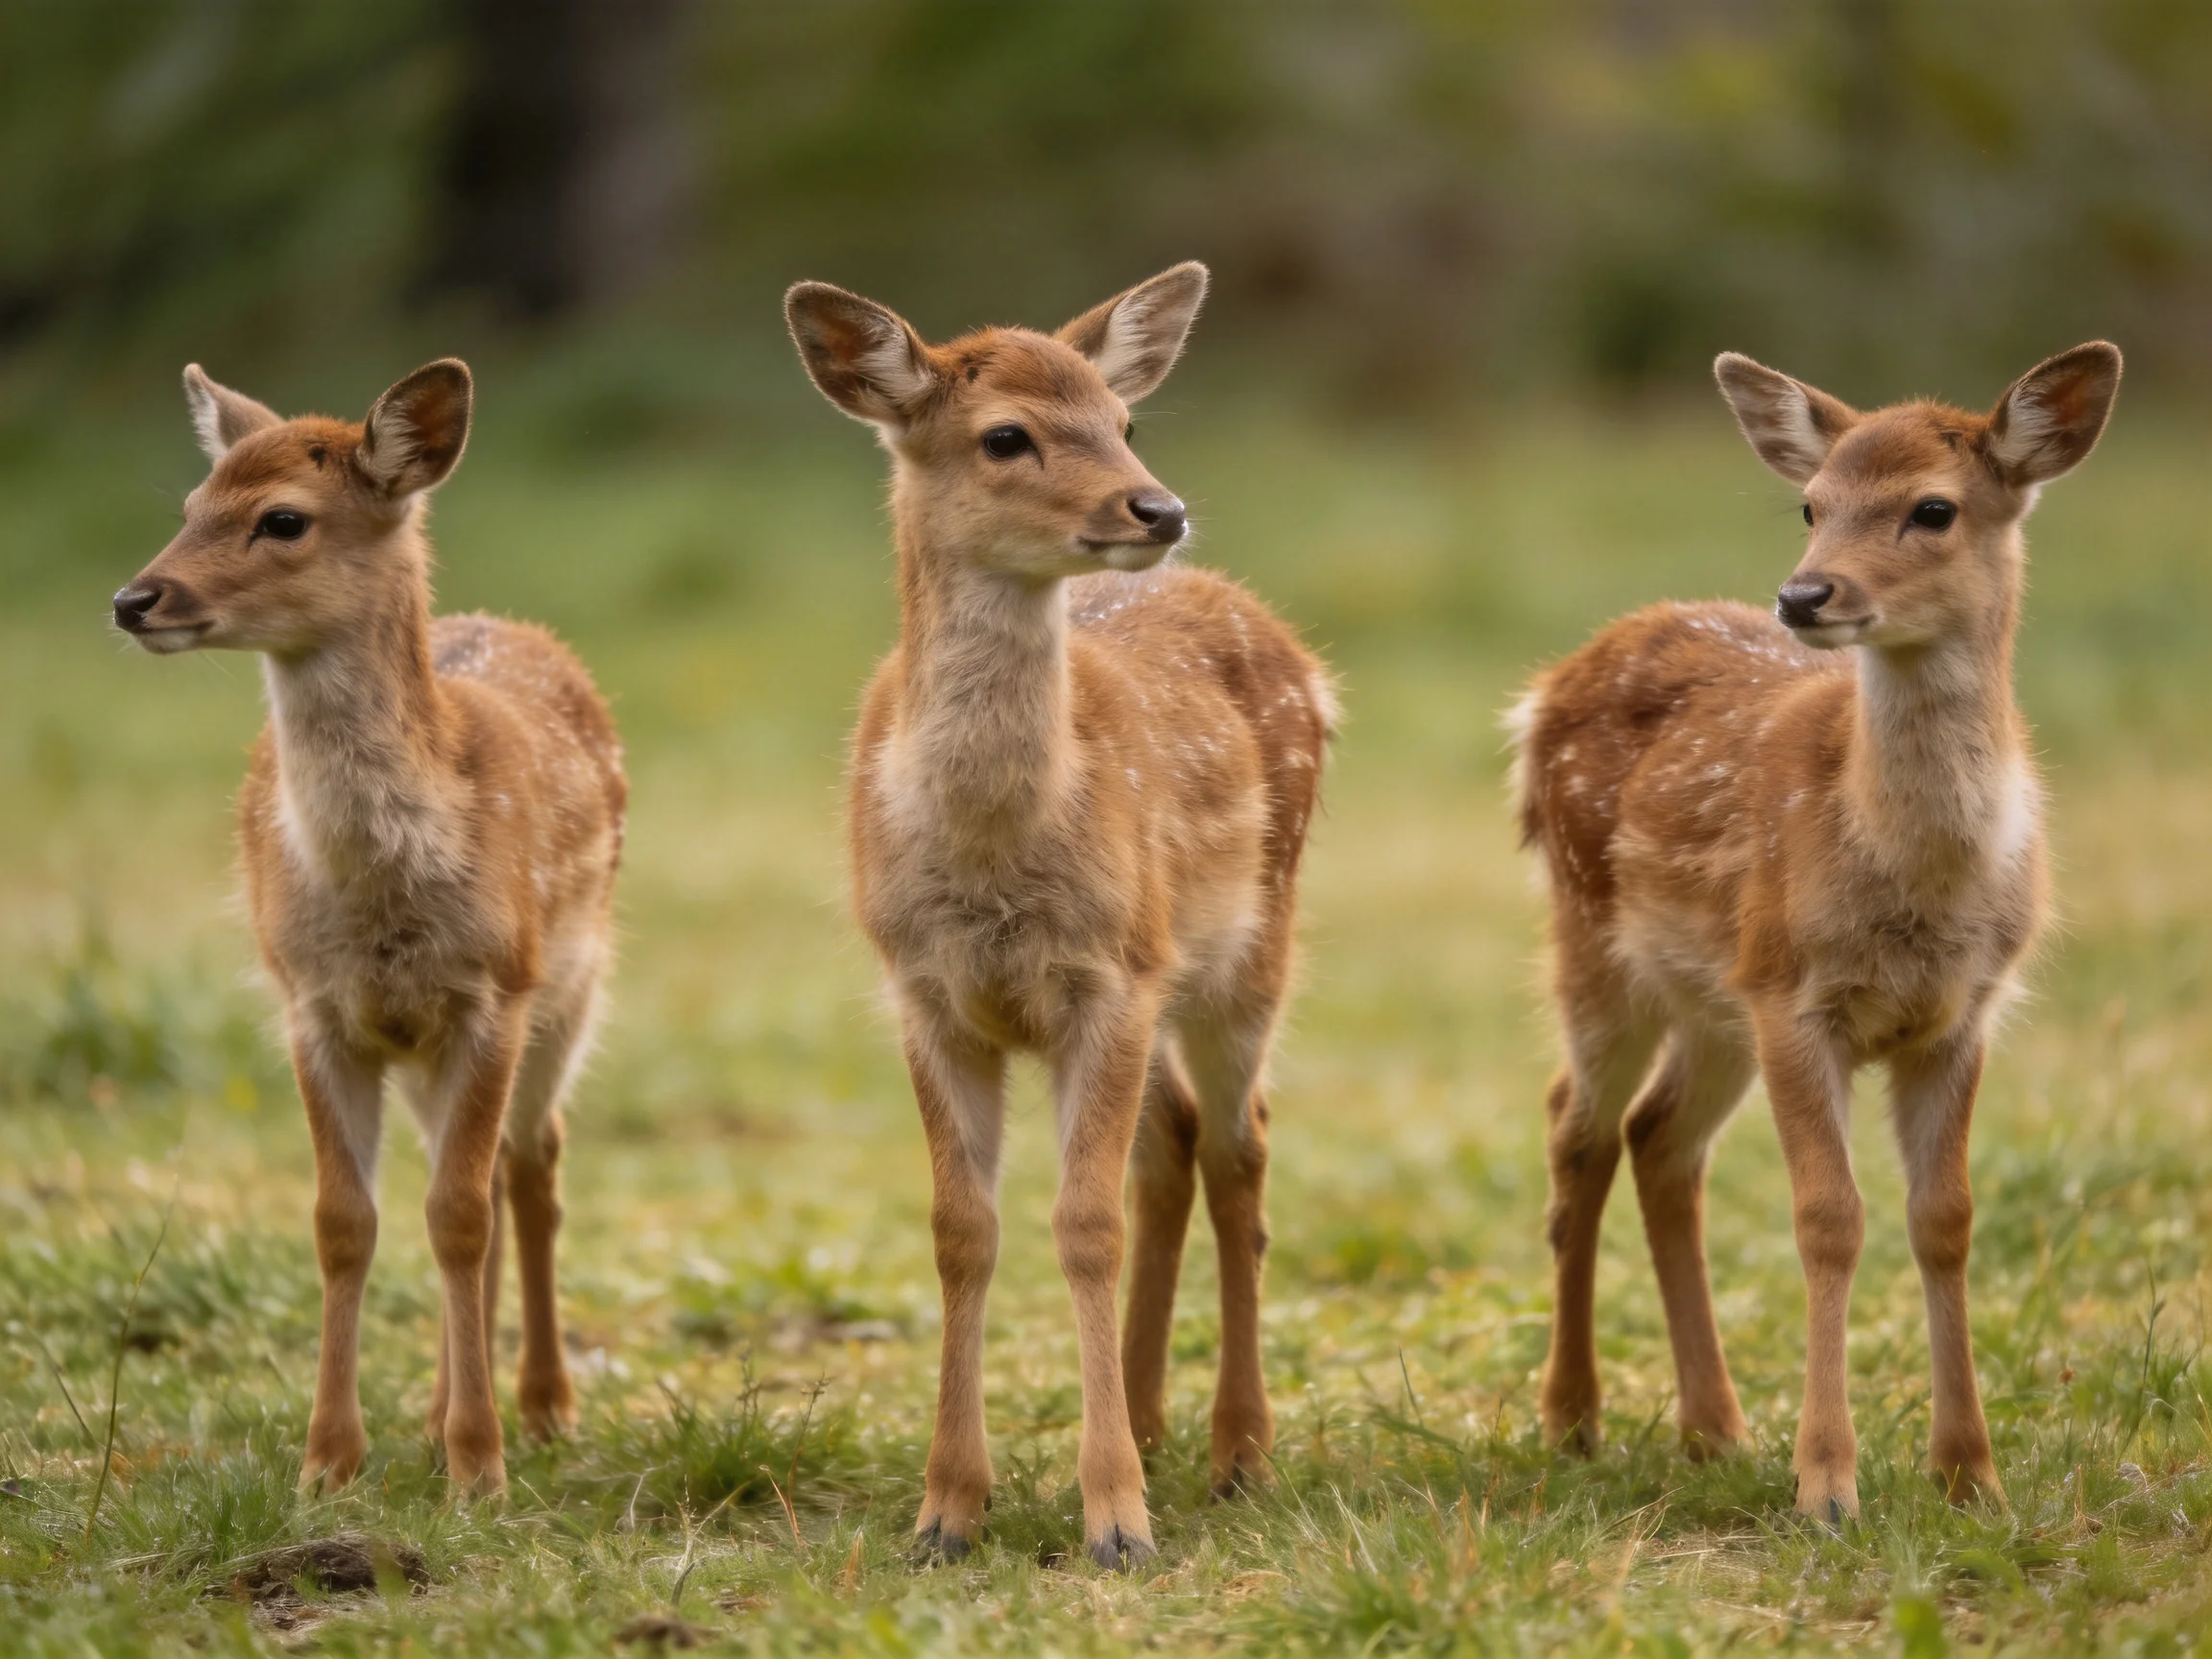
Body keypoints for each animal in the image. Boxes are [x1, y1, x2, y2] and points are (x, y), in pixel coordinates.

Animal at [111, 360, 626, 1497]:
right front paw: (327, 1464)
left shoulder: (492, 993)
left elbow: (459, 1216)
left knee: (530, 1168)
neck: (383, 890)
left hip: (571, 992)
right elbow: (346, 1222)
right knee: (475, 1176)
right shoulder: (314, 1008)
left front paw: (480, 1471)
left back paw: (542, 1406)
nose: (132, 600)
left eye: (281, 519)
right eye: (188, 507)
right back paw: (438, 1415)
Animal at [785, 263, 1334, 1567]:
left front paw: (1116, 1521)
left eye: (1124, 419)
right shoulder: (926, 993)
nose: (1159, 509)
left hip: (1249, 950)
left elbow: (1083, 1224)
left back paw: (1239, 1451)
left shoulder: (1112, 977)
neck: (995, 848)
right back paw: (1144, 1412)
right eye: (1006, 436)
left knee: (1240, 1148)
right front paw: (946, 1510)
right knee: (1175, 1141)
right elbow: (960, 1229)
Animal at [1511, 342, 2121, 1520]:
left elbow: (1946, 1219)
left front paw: (1969, 1473)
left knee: (1659, 1139)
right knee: (1577, 1127)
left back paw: (1715, 1429)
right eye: (1811, 504)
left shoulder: (1961, 1014)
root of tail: (1548, 685)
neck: (1912, 880)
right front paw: (1829, 1485)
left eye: (1933, 508)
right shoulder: (1795, 996)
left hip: (1715, 998)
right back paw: (1572, 1417)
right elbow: (1829, 1218)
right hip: (1597, 940)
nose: (1804, 594)